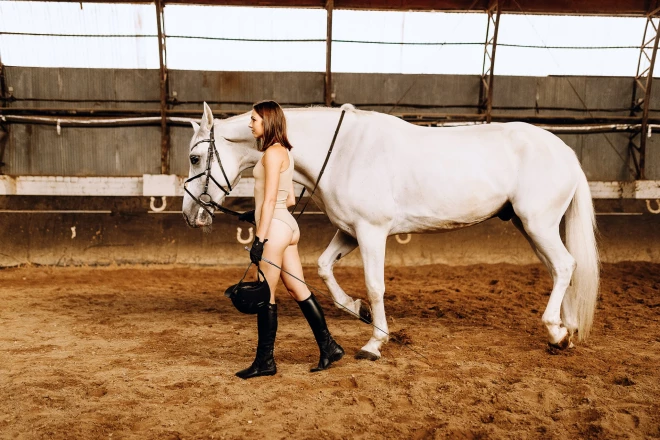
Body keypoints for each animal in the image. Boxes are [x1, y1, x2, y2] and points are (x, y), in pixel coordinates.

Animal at [180, 102, 600, 360]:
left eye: (195, 157)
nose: (190, 215)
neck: (344, 151)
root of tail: (565, 151)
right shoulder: (351, 232)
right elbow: (325, 267)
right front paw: (356, 309)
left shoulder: (371, 232)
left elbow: (375, 284)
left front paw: (374, 342)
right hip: (531, 227)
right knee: (560, 269)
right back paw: (565, 329)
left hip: (538, 224)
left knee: (565, 266)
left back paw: (556, 332)